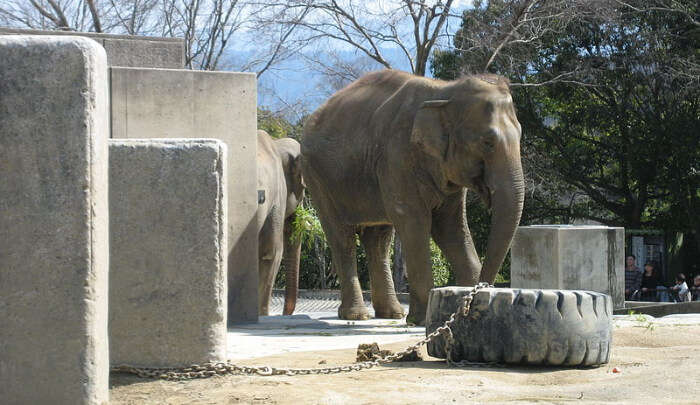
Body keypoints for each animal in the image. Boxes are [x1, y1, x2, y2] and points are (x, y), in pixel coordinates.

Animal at [300, 68, 524, 322]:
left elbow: (450, 227)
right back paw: (358, 316)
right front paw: (421, 319)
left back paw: (391, 314)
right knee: (341, 236)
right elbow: (415, 223)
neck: (444, 91)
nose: (480, 290)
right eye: (488, 142)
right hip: (317, 177)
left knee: (378, 240)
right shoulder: (396, 158)